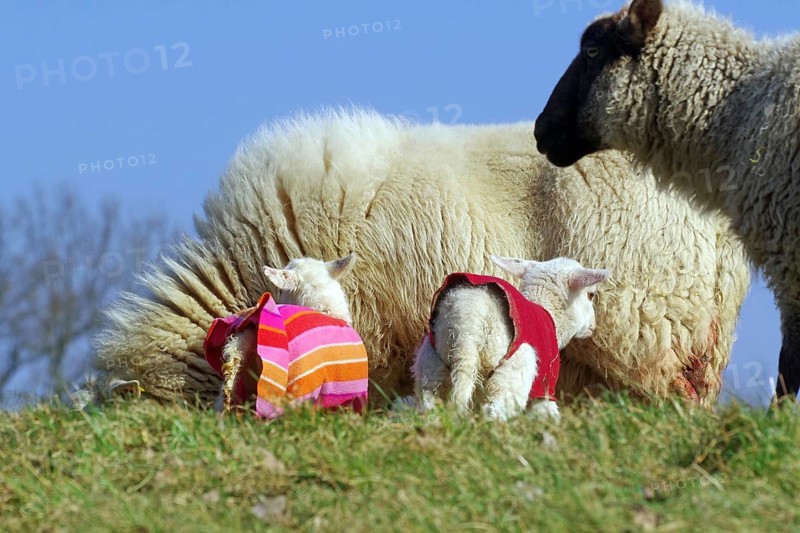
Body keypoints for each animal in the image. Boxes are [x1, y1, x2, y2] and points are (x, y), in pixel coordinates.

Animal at [413, 256, 610, 422]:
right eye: (591, 294)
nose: (593, 326)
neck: (549, 312)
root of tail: (467, 317)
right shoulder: (546, 378)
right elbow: (545, 410)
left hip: (431, 362)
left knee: (429, 403)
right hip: (515, 368)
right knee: (496, 411)